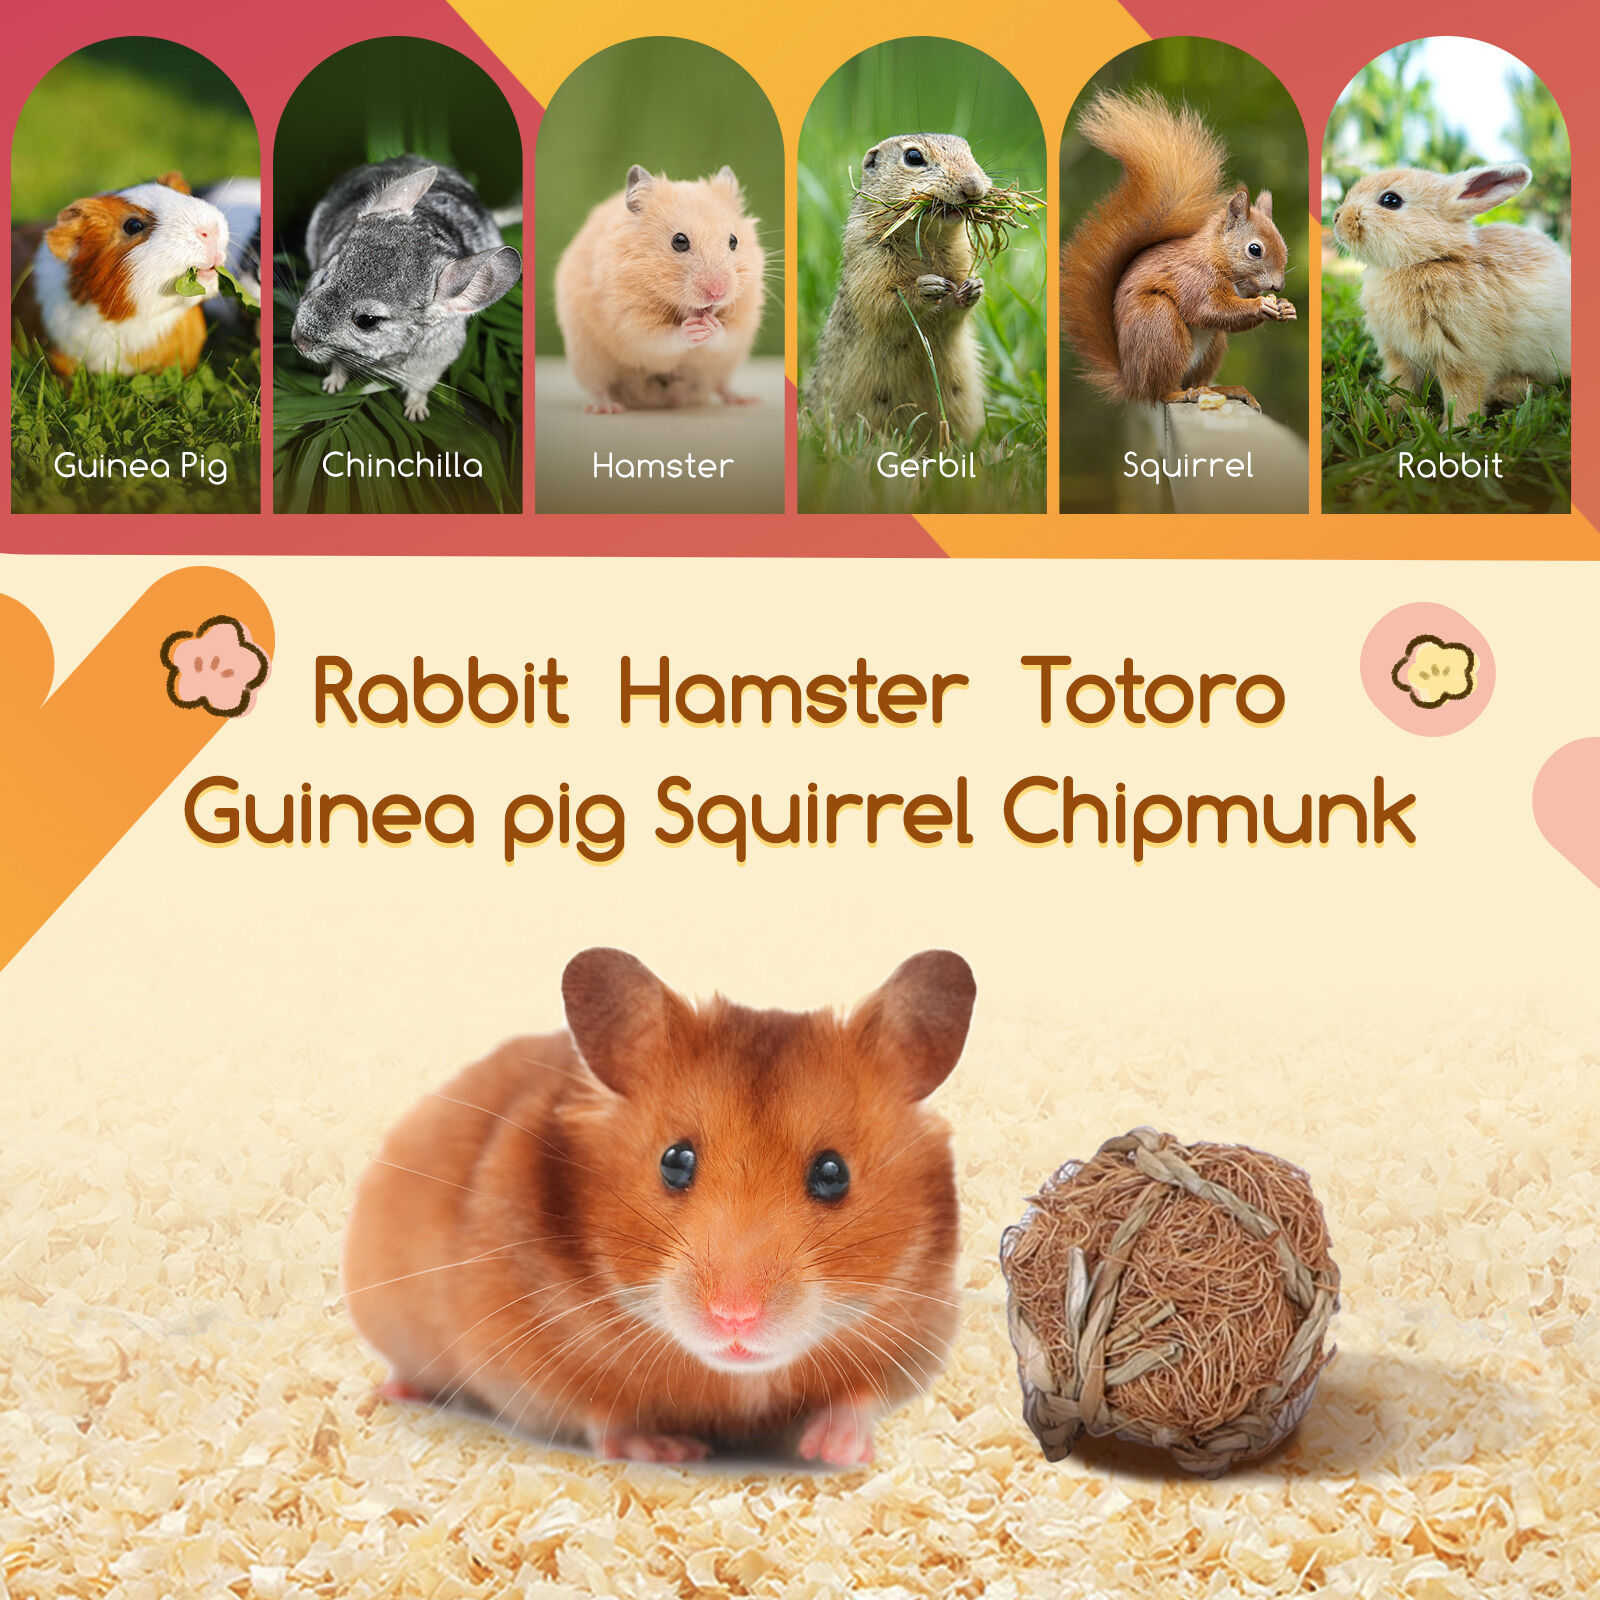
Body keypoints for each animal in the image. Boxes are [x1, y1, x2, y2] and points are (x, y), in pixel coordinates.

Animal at [289, 157, 522, 421]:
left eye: (367, 320)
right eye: (324, 276)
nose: (297, 342)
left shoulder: (435, 362)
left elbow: (420, 388)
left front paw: (416, 413)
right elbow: (339, 365)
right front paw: (331, 386)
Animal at [342, 947, 976, 1466]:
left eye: (832, 1173)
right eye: (674, 1161)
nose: (735, 1317)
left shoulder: (920, 1331)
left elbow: (862, 1397)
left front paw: (836, 1451)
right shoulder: (524, 1355)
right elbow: (602, 1412)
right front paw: (671, 1448)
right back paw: (393, 1390)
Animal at [554, 165, 766, 413]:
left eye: (734, 241)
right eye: (679, 241)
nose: (717, 292)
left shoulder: (745, 318)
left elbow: (728, 334)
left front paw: (711, 326)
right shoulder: (629, 319)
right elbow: (660, 339)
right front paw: (693, 329)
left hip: (725, 366)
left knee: (721, 385)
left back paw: (745, 399)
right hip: (587, 358)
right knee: (598, 387)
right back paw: (606, 407)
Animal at [1332, 163, 1570, 426]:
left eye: (1391, 200)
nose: (1337, 218)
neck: (1429, 259)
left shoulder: (1463, 357)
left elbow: (1463, 397)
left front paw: (1453, 429)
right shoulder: (1397, 354)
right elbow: (1402, 385)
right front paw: (1390, 413)